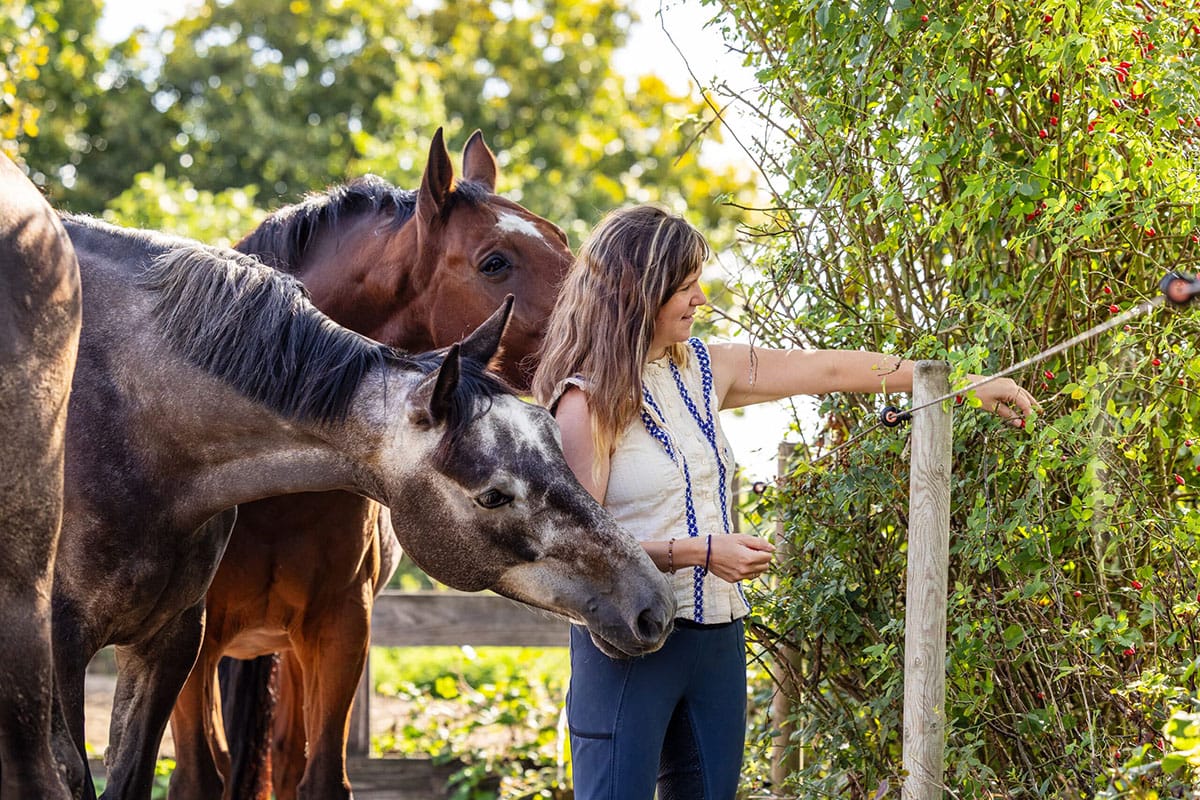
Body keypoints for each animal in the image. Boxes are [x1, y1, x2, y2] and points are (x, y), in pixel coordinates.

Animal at [54, 214, 675, 800]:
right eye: (493, 495)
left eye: (553, 434)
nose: (653, 604)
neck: (137, 417)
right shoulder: (72, 650)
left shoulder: (184, 639)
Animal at [165, 127, 575, 800]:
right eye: (494, 261)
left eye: (559, 237)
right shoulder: (184, 639)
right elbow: (201, 773)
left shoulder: (341, 628)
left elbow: (321, 775)